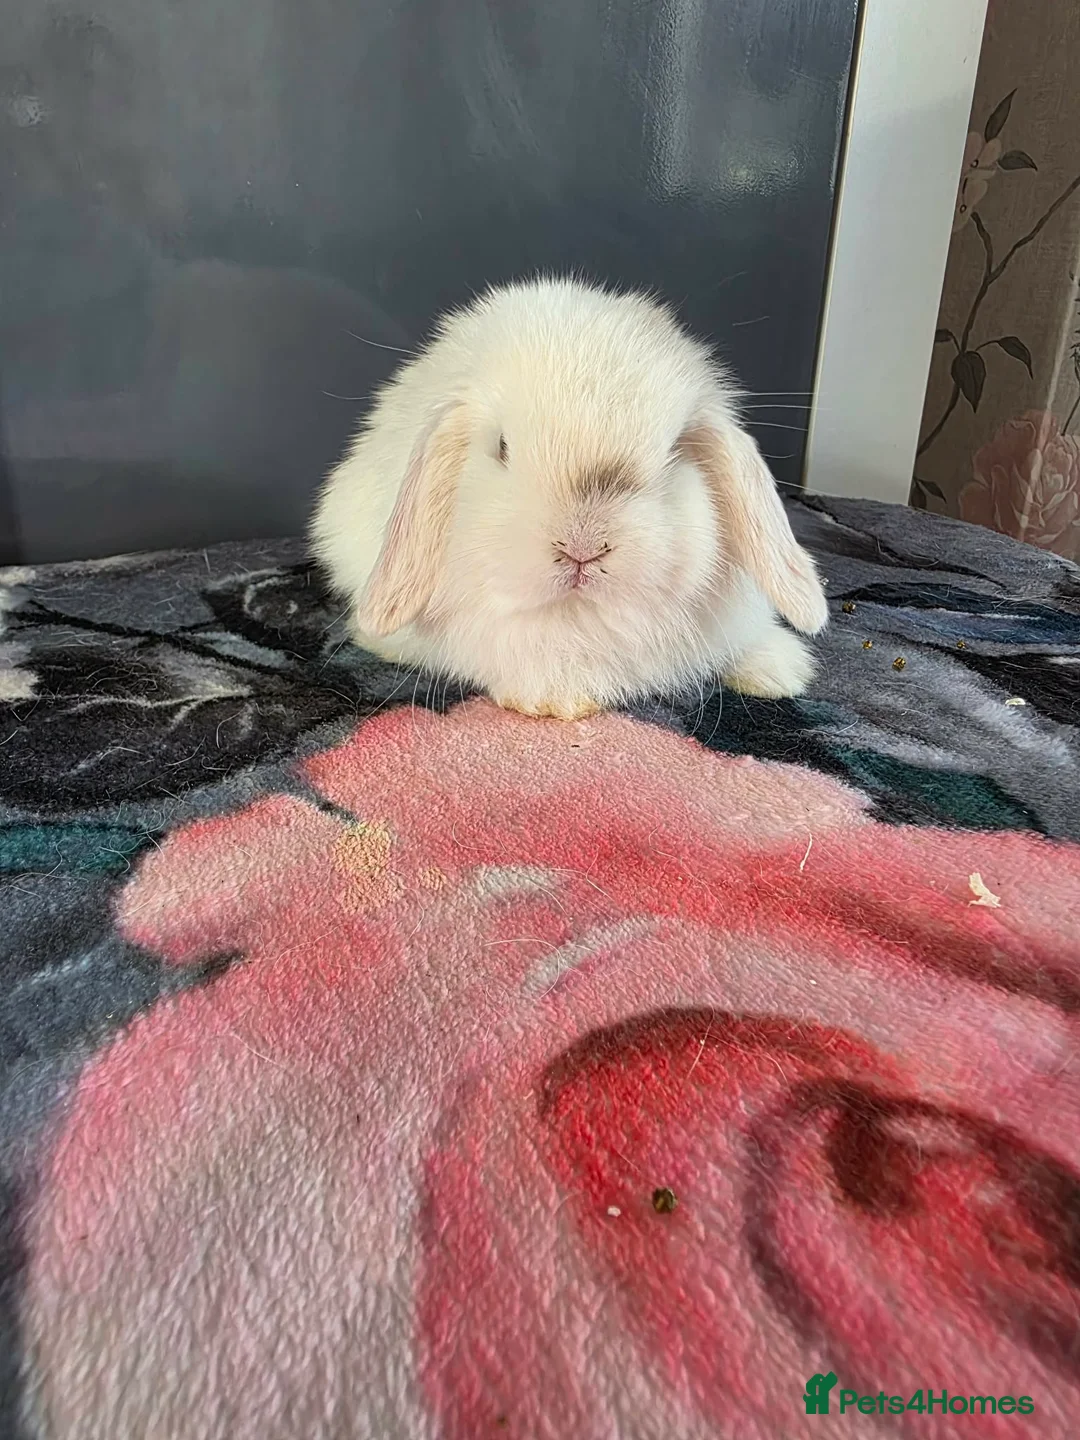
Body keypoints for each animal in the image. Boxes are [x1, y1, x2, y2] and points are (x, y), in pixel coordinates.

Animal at [311, 275, 828, 721]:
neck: (578, 617)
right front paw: (554, 699)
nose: (583, 548)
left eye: (674, 452)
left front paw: (784, 670)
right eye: (502, 447)